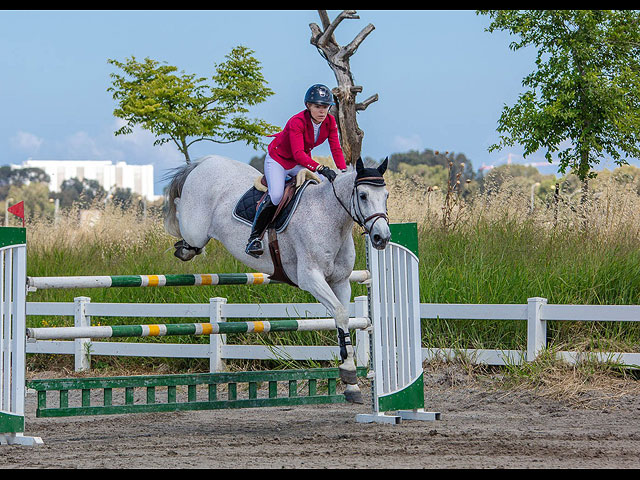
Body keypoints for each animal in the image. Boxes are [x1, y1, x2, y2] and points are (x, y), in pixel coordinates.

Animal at [162, 156, 390, 404]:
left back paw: (185, 249)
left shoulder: (340, 281)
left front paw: (351, 384)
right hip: (195, 227)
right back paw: (181, 240)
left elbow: (344, 319)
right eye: (363, 195)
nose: (382, 237)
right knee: (180, 211)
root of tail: (206, 161)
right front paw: (349, 374)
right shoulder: (310, 278)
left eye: (386, 196)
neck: (328, 216)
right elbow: (339, 313)